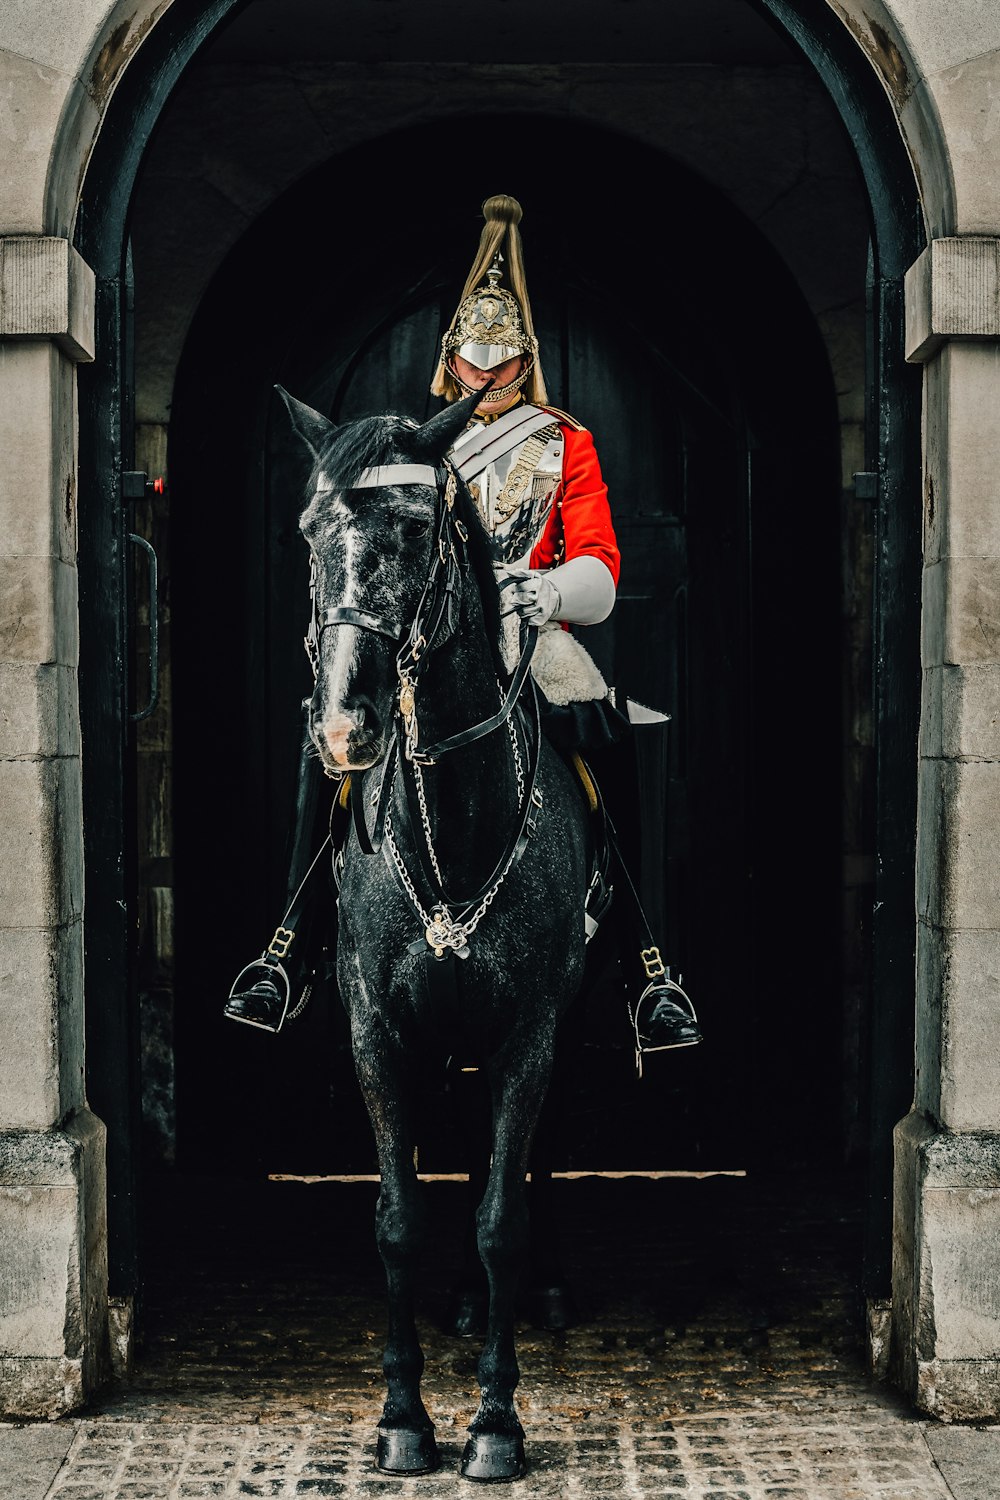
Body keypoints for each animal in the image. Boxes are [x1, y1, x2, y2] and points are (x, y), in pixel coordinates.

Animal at [280, 381, 593, 1482]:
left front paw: (495, 1423)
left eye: (416, 529)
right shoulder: (378, 1030)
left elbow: (502, 1216)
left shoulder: (531, 1030)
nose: (343, 728)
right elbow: (400, 1219)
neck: (454, 826)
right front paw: (402, 1418)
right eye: (309, 530)